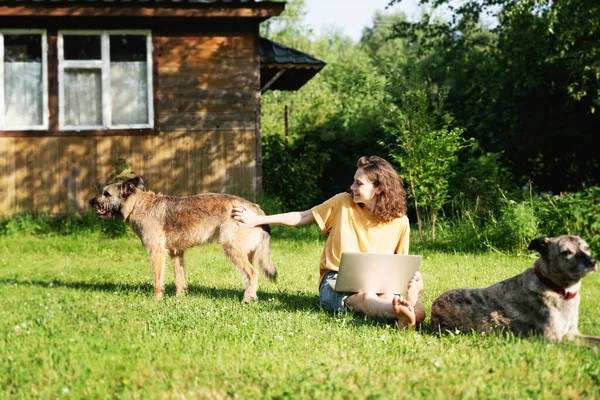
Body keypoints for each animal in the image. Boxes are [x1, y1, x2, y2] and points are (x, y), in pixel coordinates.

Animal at [89, 178, 276, 304]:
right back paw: (251, 296)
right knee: (249, 276)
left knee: (253, 273)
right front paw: (180, 298)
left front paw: (157, 301)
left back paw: (247, 299)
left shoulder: (157, 253)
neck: (138, 205)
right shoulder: (176, 253)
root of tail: (255, 208)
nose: (90, 201)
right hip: (245, 253)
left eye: (106, 194)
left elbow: (158, 281)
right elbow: (179, 279)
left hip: (232, 248)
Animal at [428, 234, 596, 344]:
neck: (557, 289)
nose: (593, 262)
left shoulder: (573, 333)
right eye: (567, 252)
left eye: (587, 248)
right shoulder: (552, 338)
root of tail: (435, 304)